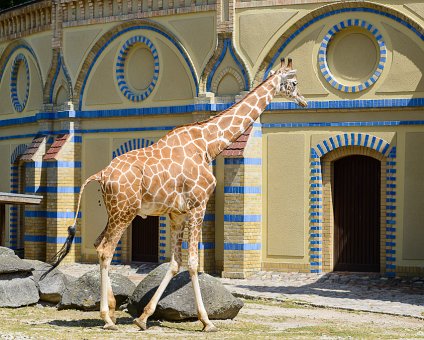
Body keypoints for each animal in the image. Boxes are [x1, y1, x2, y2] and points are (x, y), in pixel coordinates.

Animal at [50, 57, 304, 330]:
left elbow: (174, 263)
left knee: (98, 244)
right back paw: (107, 317)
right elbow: (192, 263)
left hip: (114, 211)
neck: (209, 144)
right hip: (125, 212)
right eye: (294, 83)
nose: (303, 101)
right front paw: (207, 321)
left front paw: (143, 318)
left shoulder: (177, 213)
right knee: (106, 251)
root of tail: (101, 175)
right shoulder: (198, 205)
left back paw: (114, 310)